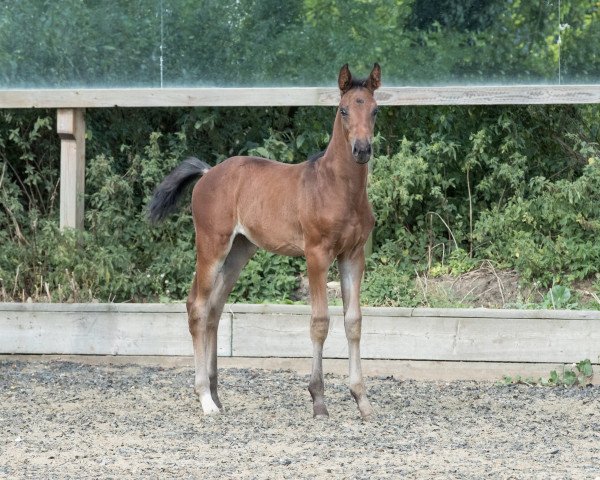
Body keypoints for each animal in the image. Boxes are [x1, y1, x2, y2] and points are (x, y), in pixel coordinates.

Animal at [152, 62, 382, 416]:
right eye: (343, 110)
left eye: (375, 110)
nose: (361, 150)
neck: (338, 188)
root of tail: (207, 173)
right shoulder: (316, 254)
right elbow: (320, 321)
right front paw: (318, 401)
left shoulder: (353, 256)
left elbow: (353, 322)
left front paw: (362, 400)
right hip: (212, 245)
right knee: (197, 307)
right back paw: (205, 399)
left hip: (239, 250)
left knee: (214, 309)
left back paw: (216, 393)